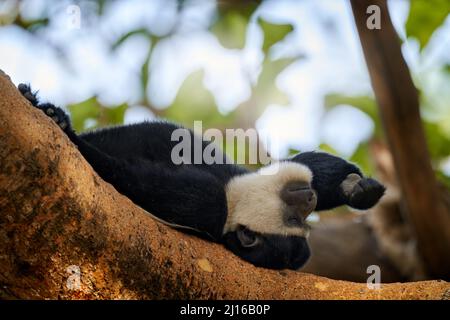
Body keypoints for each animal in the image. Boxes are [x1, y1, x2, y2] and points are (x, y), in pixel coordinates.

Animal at [19, 83, 384, 270]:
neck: (234, 198)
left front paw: (72, 138)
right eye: (296, 216)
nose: (308, 198)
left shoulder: (206, 204)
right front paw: (356, 188)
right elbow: (301, 164)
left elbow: (130, 178)